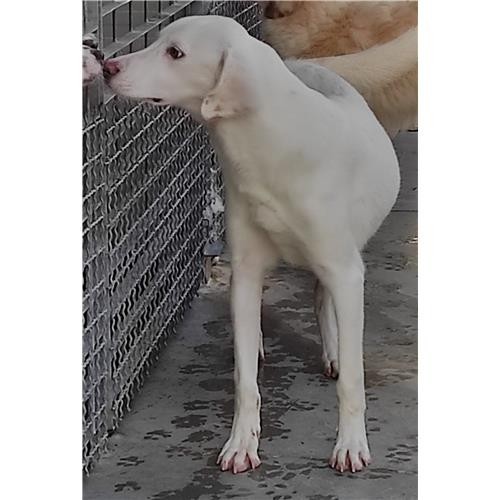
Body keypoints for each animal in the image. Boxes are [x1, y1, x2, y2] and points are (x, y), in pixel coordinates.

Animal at [103, 15, 400, 474]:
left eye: (175, 53)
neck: (267, 147)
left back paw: (332, 350)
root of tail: (307, 64)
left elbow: (353, 379)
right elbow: (246, 383)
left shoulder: (346, 271)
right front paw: (242, 443)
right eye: (159, 42)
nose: (107, 67)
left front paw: (351, 444)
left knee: (322, 299)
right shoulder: (244, 268)